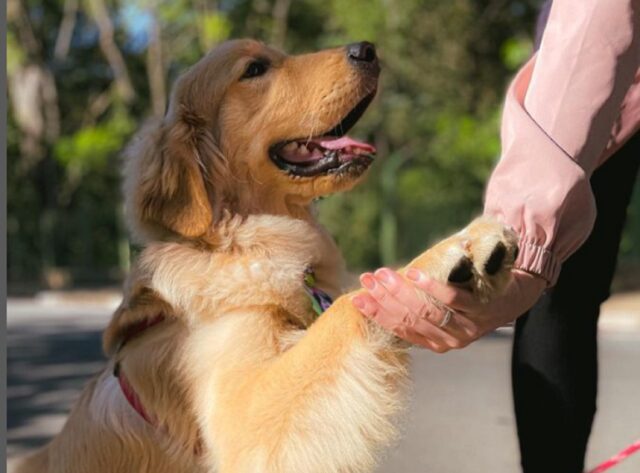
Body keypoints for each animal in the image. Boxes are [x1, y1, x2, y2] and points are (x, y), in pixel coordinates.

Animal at [15, 40, 516, 472]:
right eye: (255, 69)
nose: (367, 49)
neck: (241, 241)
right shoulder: (243, 421)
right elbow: (347, 308)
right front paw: (446, 253)